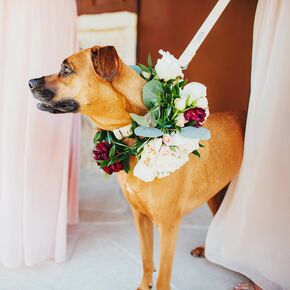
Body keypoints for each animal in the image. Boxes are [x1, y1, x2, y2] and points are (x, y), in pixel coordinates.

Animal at [29, 45, 244, 290]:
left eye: (66, 70)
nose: (29, 82)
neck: (132, 135)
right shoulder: (140, 217)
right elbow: (146, 258)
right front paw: (143, 284)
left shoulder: (168, 226)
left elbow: (163, 277)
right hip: (216, 195)